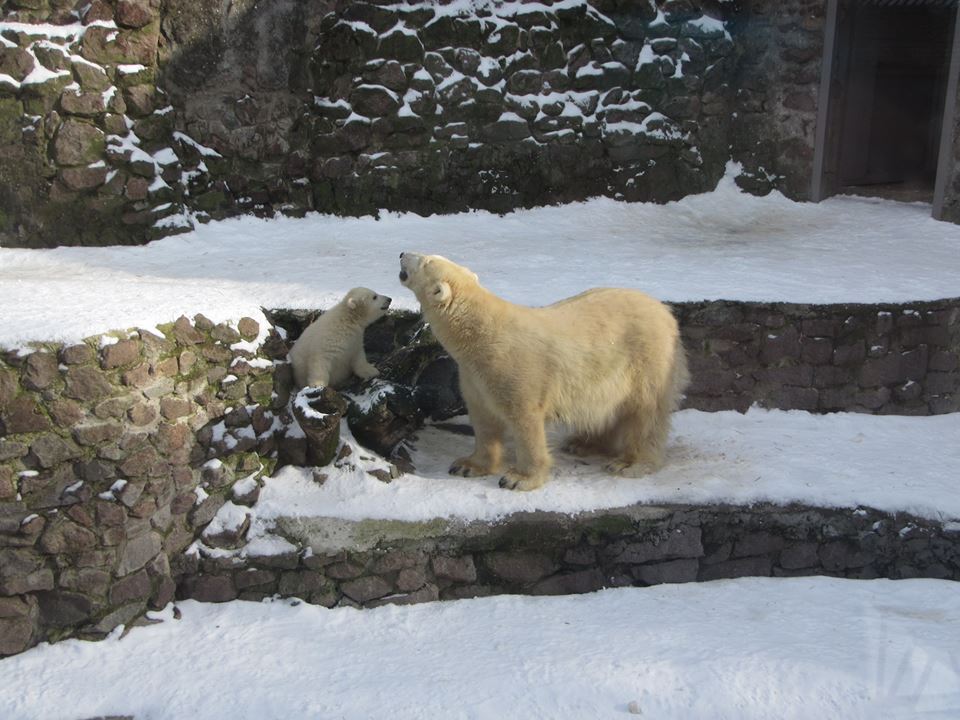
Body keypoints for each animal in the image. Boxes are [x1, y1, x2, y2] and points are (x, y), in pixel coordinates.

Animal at [400, 250, 688, 492]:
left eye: (426, 261)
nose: (402, 253)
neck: (481, 335)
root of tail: (665, 311)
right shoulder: (474, 376)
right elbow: (484, 419)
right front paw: (467, 465)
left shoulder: (513, 368)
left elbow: (525, 420)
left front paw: (519, 479)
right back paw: (581, 443)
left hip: (646, 358)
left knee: (645, 412)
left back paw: (629, 463)